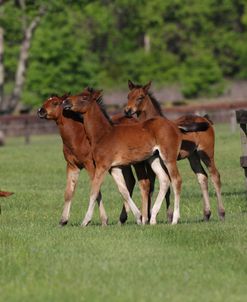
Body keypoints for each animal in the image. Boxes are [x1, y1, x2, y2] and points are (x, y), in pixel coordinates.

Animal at [62, 87, 186, 224]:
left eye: (84, 98)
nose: (66, 102)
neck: (103, 134)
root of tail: (175, 126)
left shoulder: (102, 166)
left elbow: (94, 191)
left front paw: (85, 221)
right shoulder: (114, 168)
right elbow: (123, 191)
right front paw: (138, 217)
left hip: (169, 157)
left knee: (176, 180)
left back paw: (174, 219)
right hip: (154, 158)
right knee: (164, 180)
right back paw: (152, 219)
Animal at [124, 80, 225, 219]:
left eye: (140, 97)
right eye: (128, 96)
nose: (127, 111)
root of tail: (205, 119)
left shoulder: (165, 161)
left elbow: (165, 184)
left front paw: (169, 215)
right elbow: (153, 185)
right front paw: (151, 214)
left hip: (206, 153)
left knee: (215, 176)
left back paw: (221, 213)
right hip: (193, 156)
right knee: (202, 177)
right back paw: (206, 213)